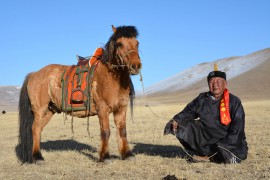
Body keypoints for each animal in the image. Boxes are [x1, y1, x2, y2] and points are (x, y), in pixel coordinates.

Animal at [17, 25, 142, 163]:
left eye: (137, 43)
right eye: (120, 44)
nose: (136, 66)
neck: (109, 76)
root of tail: (34, 74)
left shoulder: (121, 108)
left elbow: (122, 131)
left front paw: (127, 154)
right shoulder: (102, 108)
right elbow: (106, 131)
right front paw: (105, 157)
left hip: (50, 110)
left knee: (38, 129)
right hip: (40, 109)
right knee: (35, 129)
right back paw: (37, 157)